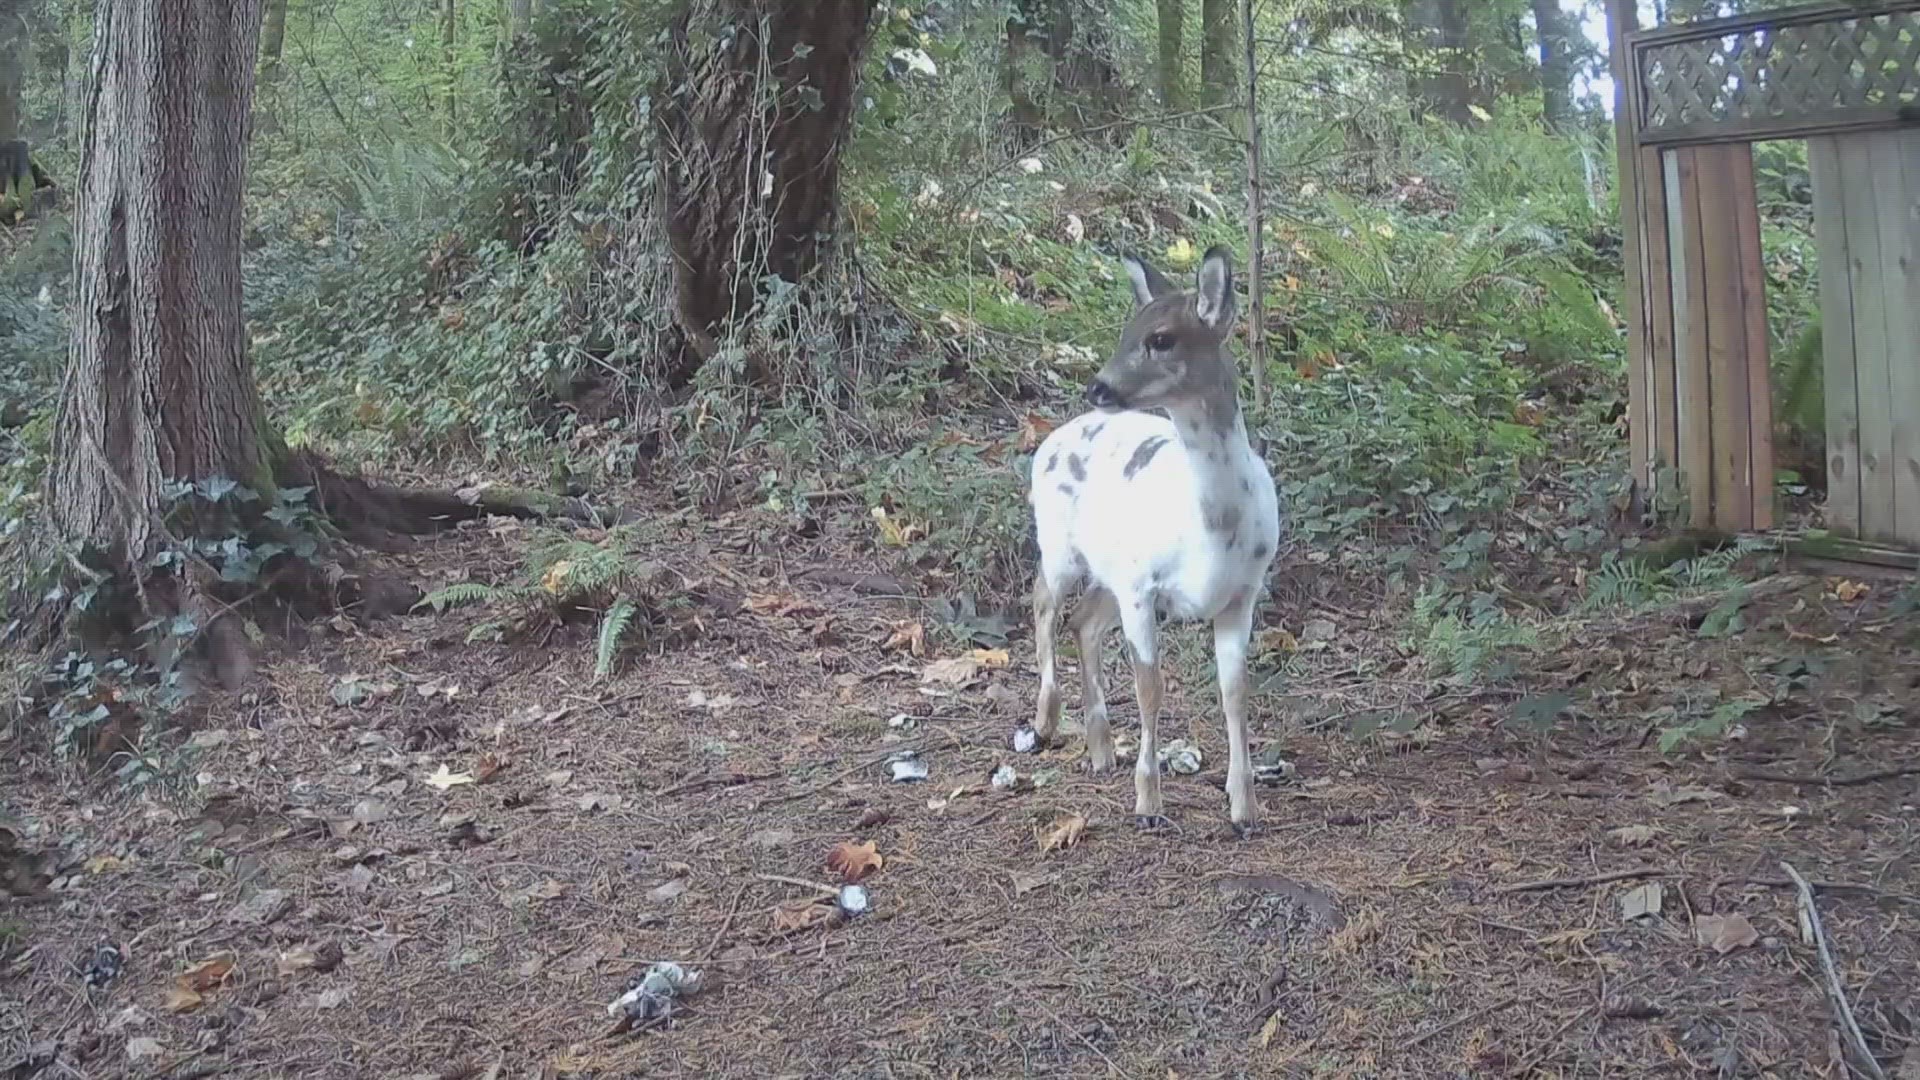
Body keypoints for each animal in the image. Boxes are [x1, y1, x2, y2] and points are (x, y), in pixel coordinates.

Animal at [1027, 245, 1282, 837]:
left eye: (1161, 338)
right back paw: (1046, 722)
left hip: (1111, 569)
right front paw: (1148, 803)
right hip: (1060, 543)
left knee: (1082, 621)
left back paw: (1101, 751)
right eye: (1126, 330)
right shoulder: (1145, 588)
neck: (1212, 526)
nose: (1098, 387)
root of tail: (1049, 441)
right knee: (1044, 603)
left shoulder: (1242, 594)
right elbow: (1151, 688)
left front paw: (1244, 808)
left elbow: (1234, 691)